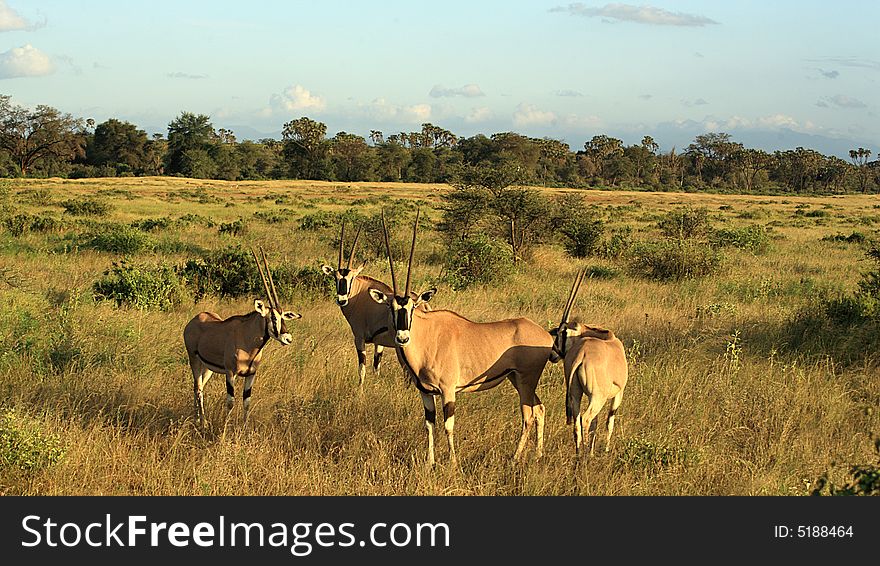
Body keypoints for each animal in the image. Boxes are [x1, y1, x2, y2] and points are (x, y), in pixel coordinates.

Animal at [183, 248, 302, 430]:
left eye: (283, 318)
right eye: (273, 317)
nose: (288, 338)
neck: (248, 340)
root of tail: (193, 321)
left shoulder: (251, 374)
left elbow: (247, 401)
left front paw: (245, 429)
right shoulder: (230, 373)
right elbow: (230, 401)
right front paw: (225, 428)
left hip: (207, 367)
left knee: (199, 386)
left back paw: (198, 419)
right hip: (194, 360)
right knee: (198, 388)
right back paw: (202, 422)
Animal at [324, 221, 434, 386]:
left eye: (351, 278)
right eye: (335, 278)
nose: (342, 300)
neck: (359, 295)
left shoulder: (359, 338)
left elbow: (362, 369)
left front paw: (360, 389)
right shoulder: (379, 344)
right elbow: (376, 368)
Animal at [370, 211, 552, 468]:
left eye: (413, 307)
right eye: (390, 307)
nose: (403, 337)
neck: (427, 338)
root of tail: (545, 334)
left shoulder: (448, 390)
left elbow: (448, 426)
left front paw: (453, 463)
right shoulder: (425, 392)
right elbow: (429, 425)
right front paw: (430, 462)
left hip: (526, 380)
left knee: (528, 415)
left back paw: (515, 458)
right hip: (517, 379)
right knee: (539, 409)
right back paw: (538, 454)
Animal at [552, 268, 624, 460]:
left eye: (562, 333)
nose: (552, 354)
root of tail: (581, 354)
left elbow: (596, 423)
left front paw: (592, 450)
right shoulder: (618, 394)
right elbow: (609, 422)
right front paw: (605, 450)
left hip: (576, 394)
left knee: (578, 421)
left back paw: (579, 454)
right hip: (597, 397)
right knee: (585, 419)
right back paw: (584, 455)